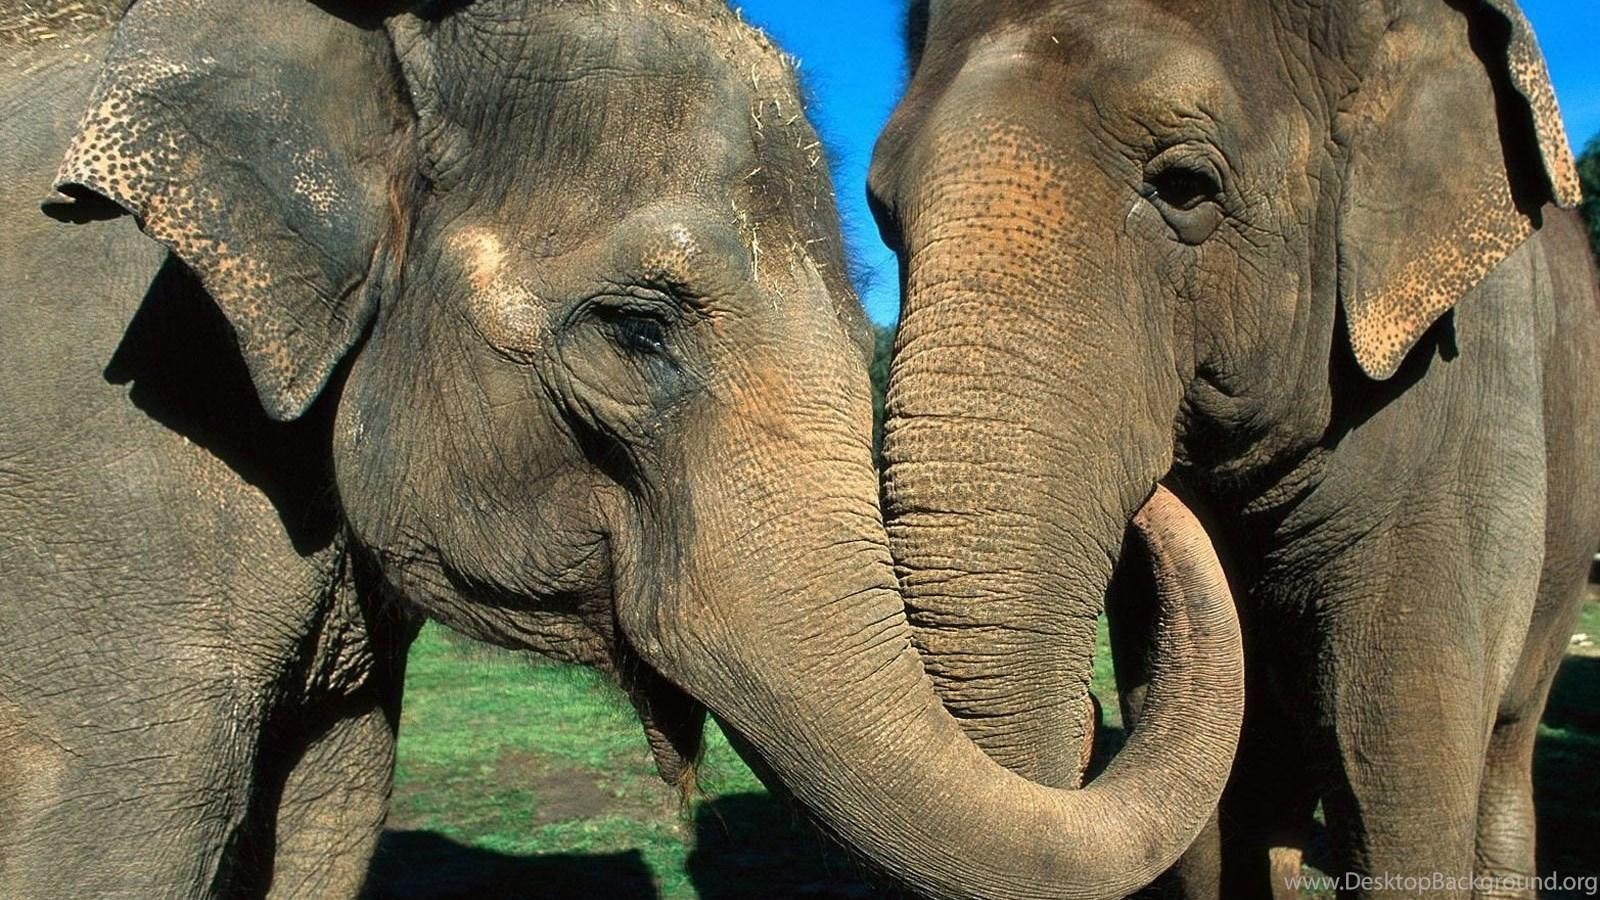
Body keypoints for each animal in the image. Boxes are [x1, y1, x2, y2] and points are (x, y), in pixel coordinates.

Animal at [869, 0, 1600, 898]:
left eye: (1185, 186)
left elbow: (1394, 763)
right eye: (881, 213)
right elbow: (1212, 807)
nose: (1088, 720)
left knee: (1499, 748)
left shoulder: (1473, 404)